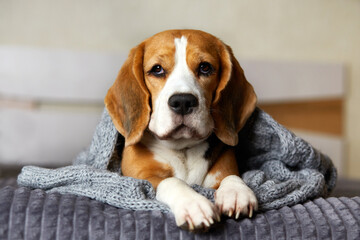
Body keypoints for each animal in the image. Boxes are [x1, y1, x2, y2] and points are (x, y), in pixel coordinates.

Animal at [105, 30, 258, 231]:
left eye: (205, 67)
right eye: (157, 69)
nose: (183, 101)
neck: (183, 149)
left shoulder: (224, 168)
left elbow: (231, 176)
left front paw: (236, 191)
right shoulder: (139, 177)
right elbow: (172, 181)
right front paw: (193, 203)